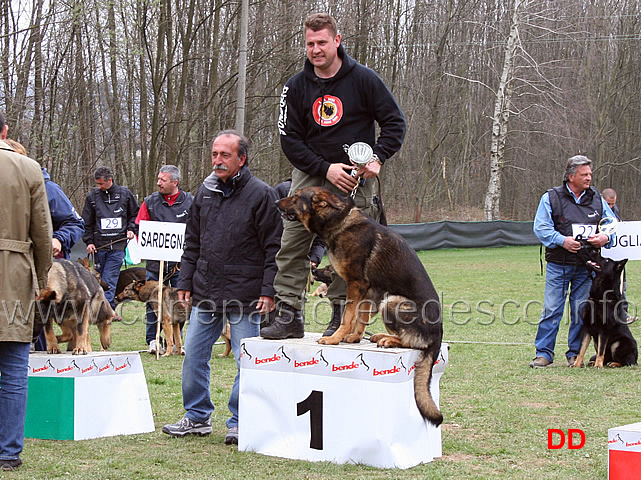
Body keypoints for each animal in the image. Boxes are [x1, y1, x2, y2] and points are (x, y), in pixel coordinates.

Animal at [276, 186, 444, 426]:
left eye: (297, 197)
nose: (276, 202)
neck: (339, 220)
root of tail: (438, 333)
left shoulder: (356, 284)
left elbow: (347, 316)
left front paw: (335, 338)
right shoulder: (368, 290)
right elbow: (361, 317)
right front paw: (354, 337)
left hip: (392, 301)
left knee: (412, 342)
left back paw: (388, 340)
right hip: (384, 300)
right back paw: (380, 336)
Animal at [572, 239, 636, 368]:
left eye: (606, 260)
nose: (592, 250)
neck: (600, 297)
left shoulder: (604, 330)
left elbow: (602, 349)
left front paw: (598, 366)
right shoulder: (586, 327)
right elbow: (581, 349)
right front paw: (576, 364)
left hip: (618, 344)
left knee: (627, 362)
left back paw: (613, 363)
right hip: (597, 342)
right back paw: (596, 362)